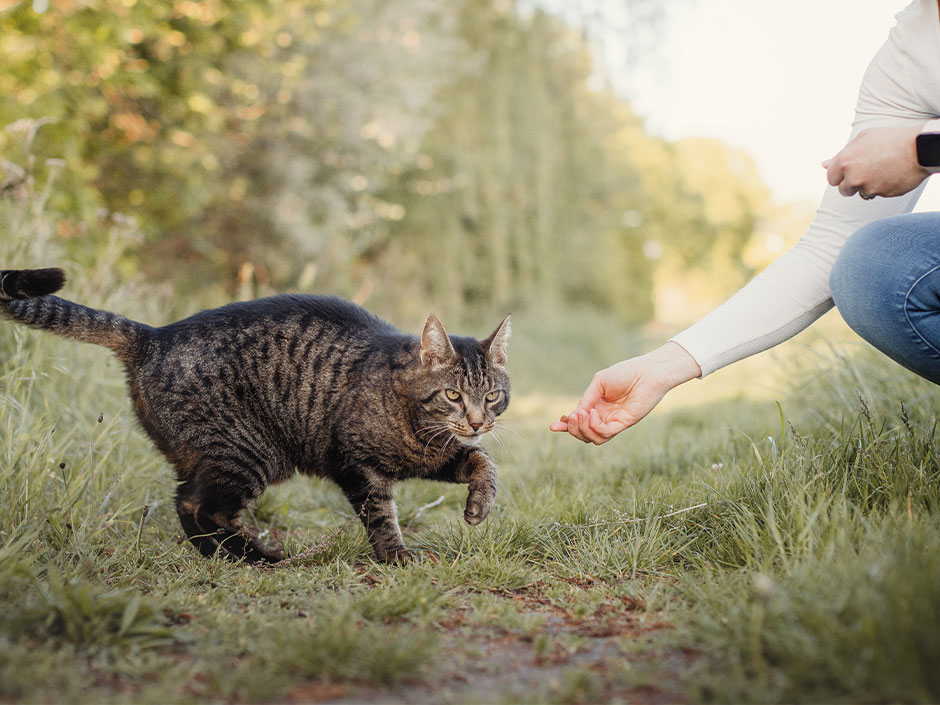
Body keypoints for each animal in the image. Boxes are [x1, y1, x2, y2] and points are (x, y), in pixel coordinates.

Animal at [0, 266, 510, 564]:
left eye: (492, 397)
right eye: (453, 394)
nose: (477, 421)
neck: (419, 430)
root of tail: (154, 335)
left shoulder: (438, 455)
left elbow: (484, 460)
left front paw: (478, 506)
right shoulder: (357, 465)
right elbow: (381, 515)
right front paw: (397, 557)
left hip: (207, 456)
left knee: (185, 500)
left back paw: (223, 555)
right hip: (247, 452)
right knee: (199, 505)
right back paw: (258, 556)